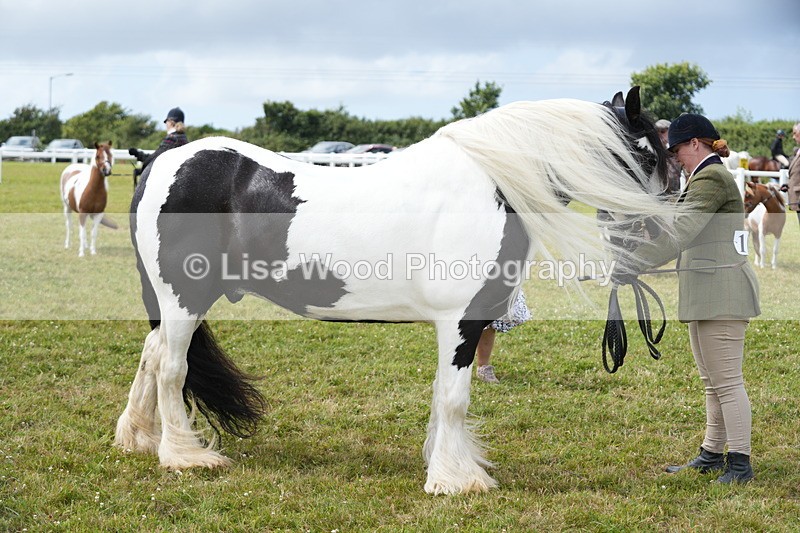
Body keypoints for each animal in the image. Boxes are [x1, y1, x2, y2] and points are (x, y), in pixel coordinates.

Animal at [115, 87, 678, 494]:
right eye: (649, 156)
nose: (667, 226)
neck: (490, 186)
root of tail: (162, 165)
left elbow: (444, 396)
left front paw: (449, 467)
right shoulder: (462, 320)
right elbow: (454, 398)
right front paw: (458, 481)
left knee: (151, 353)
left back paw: (138, 438)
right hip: (184, 298)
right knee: (171, 367)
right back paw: (186, 456)